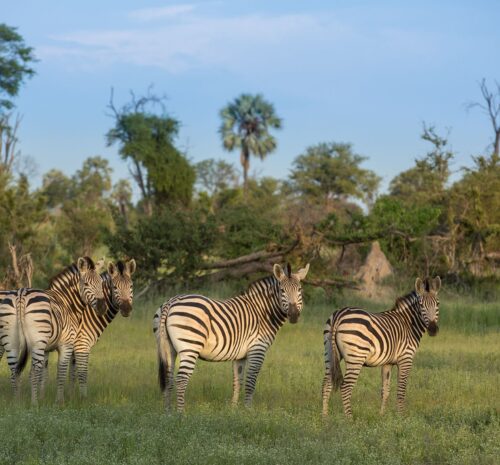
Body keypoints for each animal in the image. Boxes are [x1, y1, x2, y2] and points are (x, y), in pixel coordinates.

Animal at [14, 256, 106, 404]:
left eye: (101, 284)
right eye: (86, 284)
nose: (103, 307)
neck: (68, 303)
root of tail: (22, 294)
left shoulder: (46, 348)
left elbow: (45, 374)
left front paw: (43, 397)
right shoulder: (66, 344)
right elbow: (61, 372)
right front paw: (59, 401)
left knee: (16, 370)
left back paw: (17, 401)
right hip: (37, 342)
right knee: (33, 372)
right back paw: (34, 404)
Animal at [41, 258, 136, 396]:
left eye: (131, 286)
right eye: (115, 287)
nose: (126, 309)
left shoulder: (74, 347)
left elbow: (72, 374)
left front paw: (71, 395)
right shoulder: (82, 344)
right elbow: (82, 373)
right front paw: (83, 397)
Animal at [153, 262, 308, 412]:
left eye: (299, 290)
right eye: (282, 291)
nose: (294, 315)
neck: (263, 313)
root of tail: (170, 302)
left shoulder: (240, 355)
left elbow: (237, 381)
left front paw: (233, 410)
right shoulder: (257, 349)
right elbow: (250, 381)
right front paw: (248, 410)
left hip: (169, 349)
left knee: (168, 378)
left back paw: (168, 412)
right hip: (190, 347)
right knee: (181, 379)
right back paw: (181, 413)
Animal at [320, 276, 442, 416]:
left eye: (438, 304)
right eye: (421, 305)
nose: (433, 329)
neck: (408, 324)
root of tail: (339, 315)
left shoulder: (387, 363)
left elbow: (385, 390)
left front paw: (382, 416)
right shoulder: (405, 359)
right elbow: (401, 391)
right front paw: (401, 417)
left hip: (329, 352)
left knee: (326, 384)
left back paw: (325, 417)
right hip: (356, 357)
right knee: (345, 387)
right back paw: (349, 418)